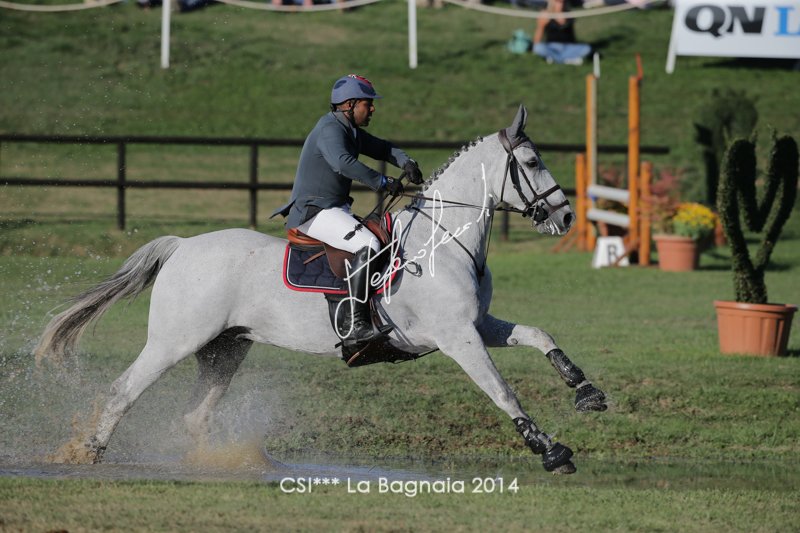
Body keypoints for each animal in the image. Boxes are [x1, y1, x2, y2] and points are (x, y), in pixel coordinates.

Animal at [35, 105, 606, 474]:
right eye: (531, 164)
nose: (565, 217)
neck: (443, 241)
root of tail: (182, 247)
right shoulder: (456, 337)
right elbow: (501, 390)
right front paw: (550, 450)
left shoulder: (477, 324)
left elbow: (539, 334)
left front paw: (586, 391)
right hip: (174, 342)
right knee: (123, 391)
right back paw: (87, 453)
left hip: (225, 349)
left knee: (195, 414)